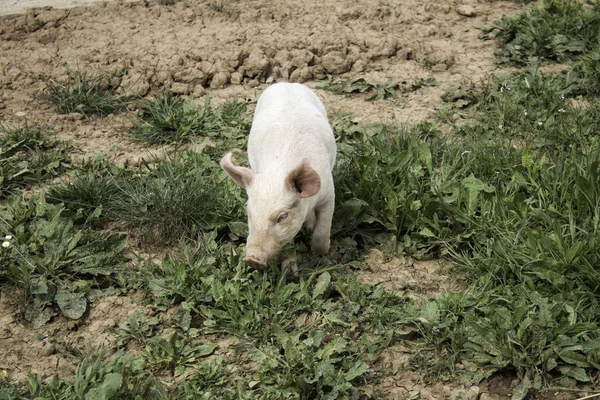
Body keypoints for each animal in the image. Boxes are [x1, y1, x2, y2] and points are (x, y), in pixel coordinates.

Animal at [220, 82, 338, 268]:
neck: (279, 169)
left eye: (282, 217)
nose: (252, 259)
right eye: (249, 212)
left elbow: (322, 230)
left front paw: (321, 254)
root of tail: (286, 83)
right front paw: (289, 270)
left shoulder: (328, 192)